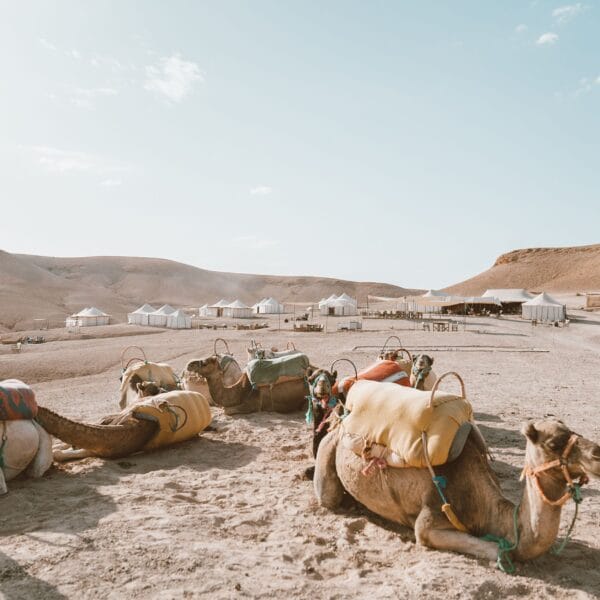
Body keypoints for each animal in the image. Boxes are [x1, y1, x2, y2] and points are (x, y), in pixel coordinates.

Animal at [314, 386, 600, 568]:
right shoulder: (429, 522)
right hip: (329, 450)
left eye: (574, 432)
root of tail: (342, 414)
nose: (597, 454)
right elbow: (499, 551)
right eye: (553, 443)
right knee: (328, 496)